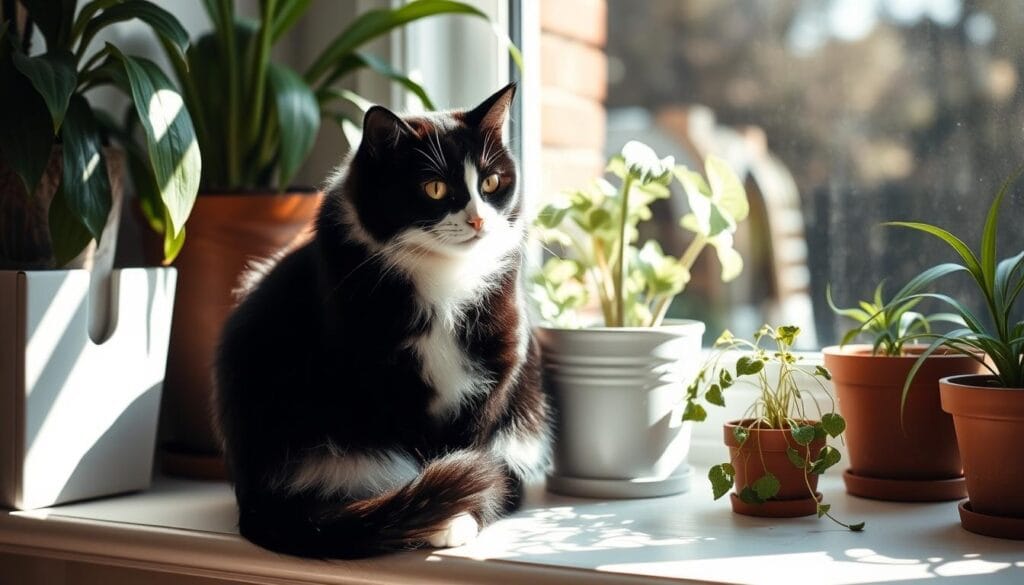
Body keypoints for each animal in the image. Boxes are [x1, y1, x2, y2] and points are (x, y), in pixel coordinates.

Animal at [215, 83, 552, 557]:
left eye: (490, 182)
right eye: (434, 187)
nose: (478, 219)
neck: (444, 274)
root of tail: (254, 501)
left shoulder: (497, 363)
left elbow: (474, 445)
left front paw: (463, 508)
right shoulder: (379, 378)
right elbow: (423, 450)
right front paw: (445, 514)